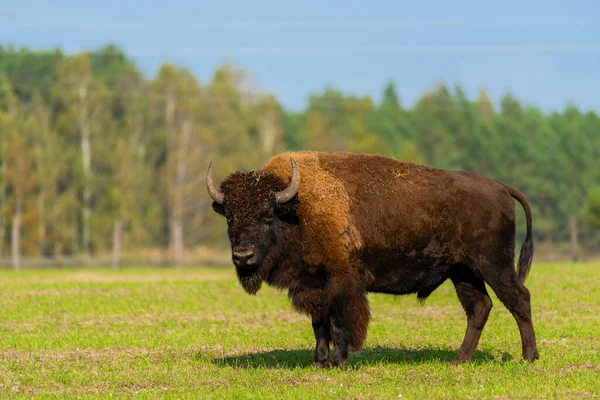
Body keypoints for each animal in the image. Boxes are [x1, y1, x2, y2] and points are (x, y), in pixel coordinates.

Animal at [206, 150, 540, 366]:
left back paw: (529, 358)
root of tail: (499, 187)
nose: (243, 256)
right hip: (463, 272)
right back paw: (459, 360)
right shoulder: (315, 286)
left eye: (267, 215)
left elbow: (340, 324)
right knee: (479, 307)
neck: (296, 209)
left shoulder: (342, 284)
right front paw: (318, 361)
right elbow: (319, 324)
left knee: (519, 298)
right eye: (230, 217)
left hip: (493, 265)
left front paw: (339, 362)